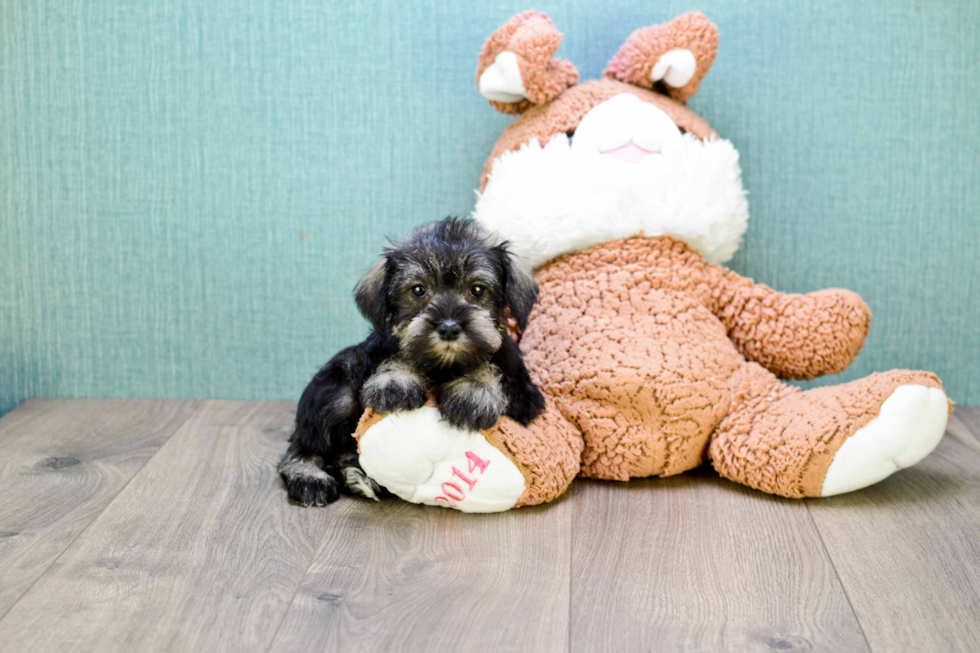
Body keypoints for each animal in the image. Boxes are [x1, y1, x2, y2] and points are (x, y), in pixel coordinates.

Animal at [280, 216, 548, 506]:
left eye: (477, 289)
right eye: (418, 290)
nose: (449, 328)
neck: (443, 367)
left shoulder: (524, 397)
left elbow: (485, 363)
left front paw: (473, 390)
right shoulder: (380, 350)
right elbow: (401, 354)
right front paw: (397, 380)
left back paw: (359, 477)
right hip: (336, 397)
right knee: (302, 447)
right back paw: (311, 478)